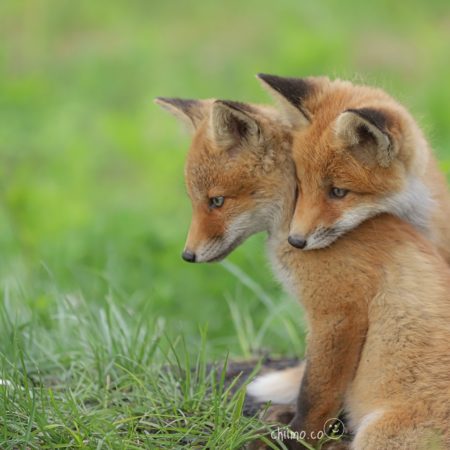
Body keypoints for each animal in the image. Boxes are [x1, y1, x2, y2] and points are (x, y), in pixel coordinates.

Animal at [156, 96, 450, 450]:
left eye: (216, 201)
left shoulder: (337, 314)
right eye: (195, 201)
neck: (293, 215)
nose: (187, 255)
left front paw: (295, 438)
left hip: (377, 435)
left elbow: (314, 396)